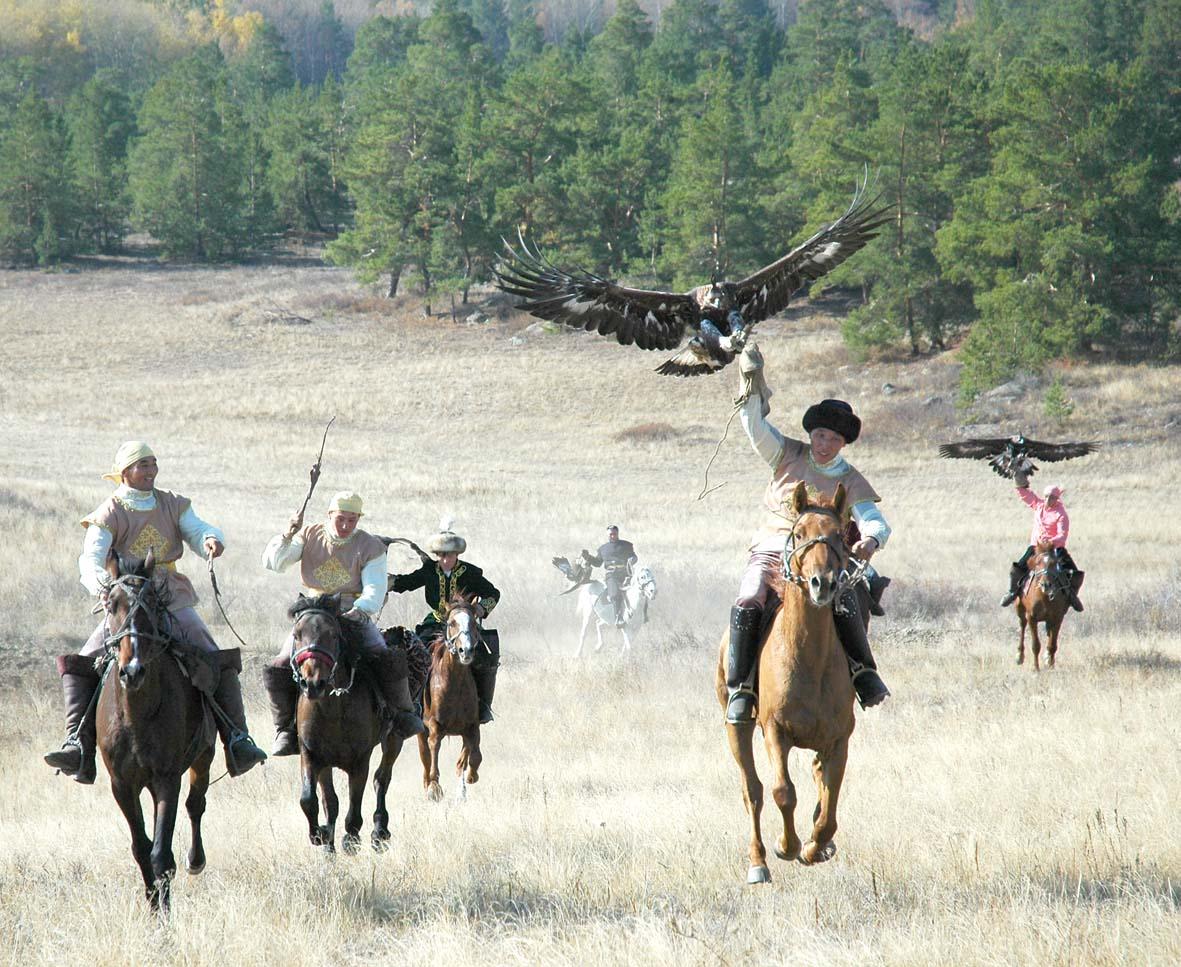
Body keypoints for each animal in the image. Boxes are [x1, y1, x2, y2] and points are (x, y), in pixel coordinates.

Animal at [96, 552, 217, 916]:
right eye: (112, 604)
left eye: (150, 603)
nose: (132, 670)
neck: (136, 716)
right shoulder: (122, 785)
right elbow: (141, 848)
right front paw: (153, 903)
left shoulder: (167, 779)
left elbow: (161, 854)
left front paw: (164, 916)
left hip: (204, 757)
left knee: (196, 804)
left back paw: (196, 860)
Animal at [276, 592, 406, 850]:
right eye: (297, 634)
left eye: (333, 634)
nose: (313, 683)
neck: (333, 709)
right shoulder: (312, 755)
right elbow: (316, 801)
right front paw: (321, 837)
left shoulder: (360, 760)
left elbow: (354, 807)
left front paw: (350, 840)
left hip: (393, 740)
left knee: (382, 778)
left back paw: (380, 831)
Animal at [420, 592, 484, 807]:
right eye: (452, 623)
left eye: (473, 622)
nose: (466, 651)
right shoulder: (434, 727)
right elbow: (433, 756)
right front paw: (434, 790)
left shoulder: (472, 726)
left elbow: (474, 758)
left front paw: (471, 778)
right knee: (425, 758)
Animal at [713, 484, 864, 883]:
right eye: (799, 533)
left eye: (840, 537)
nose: (822, 584)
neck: (808, 659)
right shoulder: (775, 731)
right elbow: (783, 791)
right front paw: (789, 846)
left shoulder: (839, 739)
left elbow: (829, 803)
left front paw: (815, 847)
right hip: (737, 727)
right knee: (752, 790)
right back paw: (758, 863)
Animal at [1010, 545, 1077, 675]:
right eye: (1037, 563)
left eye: (1055, 564)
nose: (1046, 584)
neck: (1044, 597)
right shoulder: (1031, 618)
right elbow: (1035, 645)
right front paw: (1036, 668)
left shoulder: (1058, 618)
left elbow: (1052, 645)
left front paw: (1050, 665)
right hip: (1020, 610)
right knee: (1022, 626)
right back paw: (1019, 656)